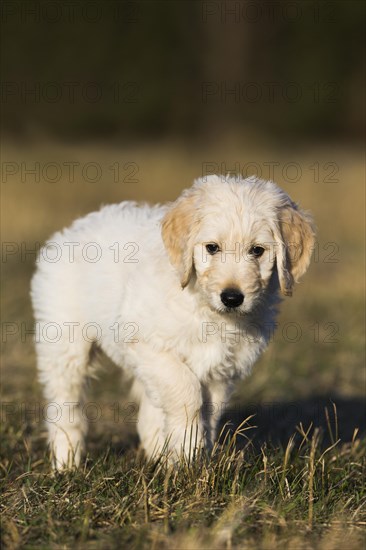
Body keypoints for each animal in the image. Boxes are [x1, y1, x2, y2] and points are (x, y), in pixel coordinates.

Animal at [30, 175, 314, 468]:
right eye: (212, 248)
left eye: (257, 251)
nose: (232, 297)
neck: (207, 310)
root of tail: (75, 227)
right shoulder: (147, 344)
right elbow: (186, 391)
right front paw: (188, 452)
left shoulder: (221, 370)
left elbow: (209, 411)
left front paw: (194, 458)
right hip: (64, 344)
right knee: (66, 405)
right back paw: (66, 463)